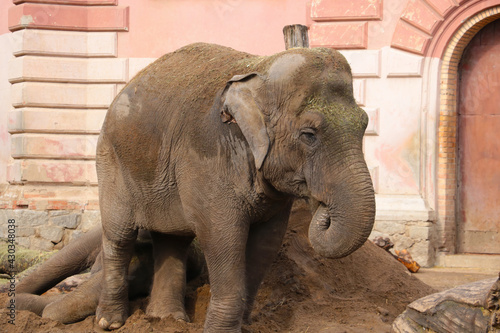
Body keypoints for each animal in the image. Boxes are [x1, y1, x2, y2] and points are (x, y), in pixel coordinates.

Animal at [94, 42, 376, 330]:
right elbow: (222, 236)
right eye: (309, 135)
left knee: (172, 239)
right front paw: (221, 331)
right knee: (119, 236)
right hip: (111, 162)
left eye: (364, 125)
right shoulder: (207, 156)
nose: (323, 208)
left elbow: (267, 242)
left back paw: (168, 319)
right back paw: (110, 322)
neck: (260, 70)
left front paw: (244, 327)